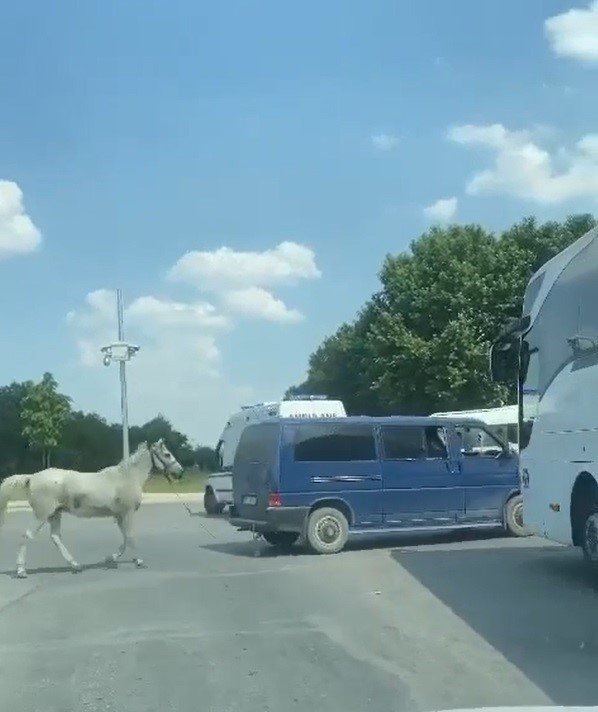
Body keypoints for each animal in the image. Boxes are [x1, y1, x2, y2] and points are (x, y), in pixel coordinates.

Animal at [0, 440, 183, 580]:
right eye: (167, 454)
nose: (180, 471)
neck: (127, 477)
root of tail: (31, 478)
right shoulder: (127, 513)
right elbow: (130, 537)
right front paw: (138, 561)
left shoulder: (119, 515)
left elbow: (125, 538)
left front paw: (109, 558)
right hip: (42, 514)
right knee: (27, 536)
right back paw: (21, 571)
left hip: (55, 514)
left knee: (56, 537)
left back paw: (76, 565)